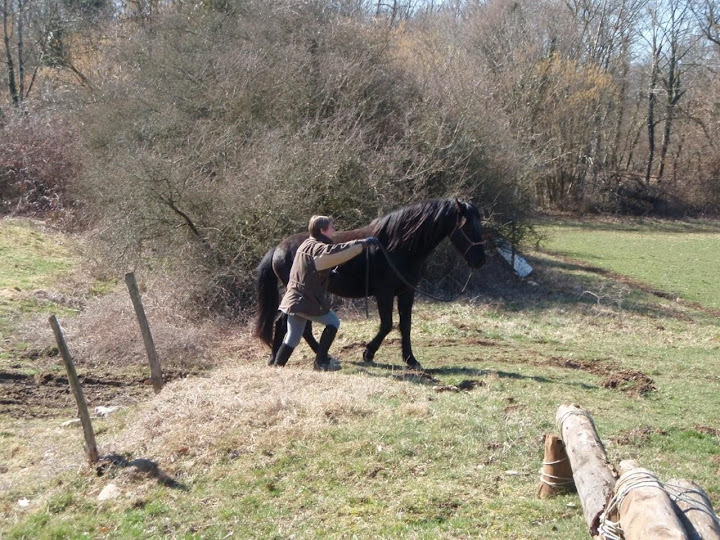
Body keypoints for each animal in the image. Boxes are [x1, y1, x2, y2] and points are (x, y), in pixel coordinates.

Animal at [256, 198, 486, 372]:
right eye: (466, 226)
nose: (480, 261)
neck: (397, 246)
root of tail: (278, 248)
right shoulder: (384, 293)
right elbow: (387, 325)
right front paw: (368, 353)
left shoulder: (407, 292)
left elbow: (405, 325)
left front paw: (411, 360)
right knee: (292, 324)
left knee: (289, 324)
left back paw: (287, 357)